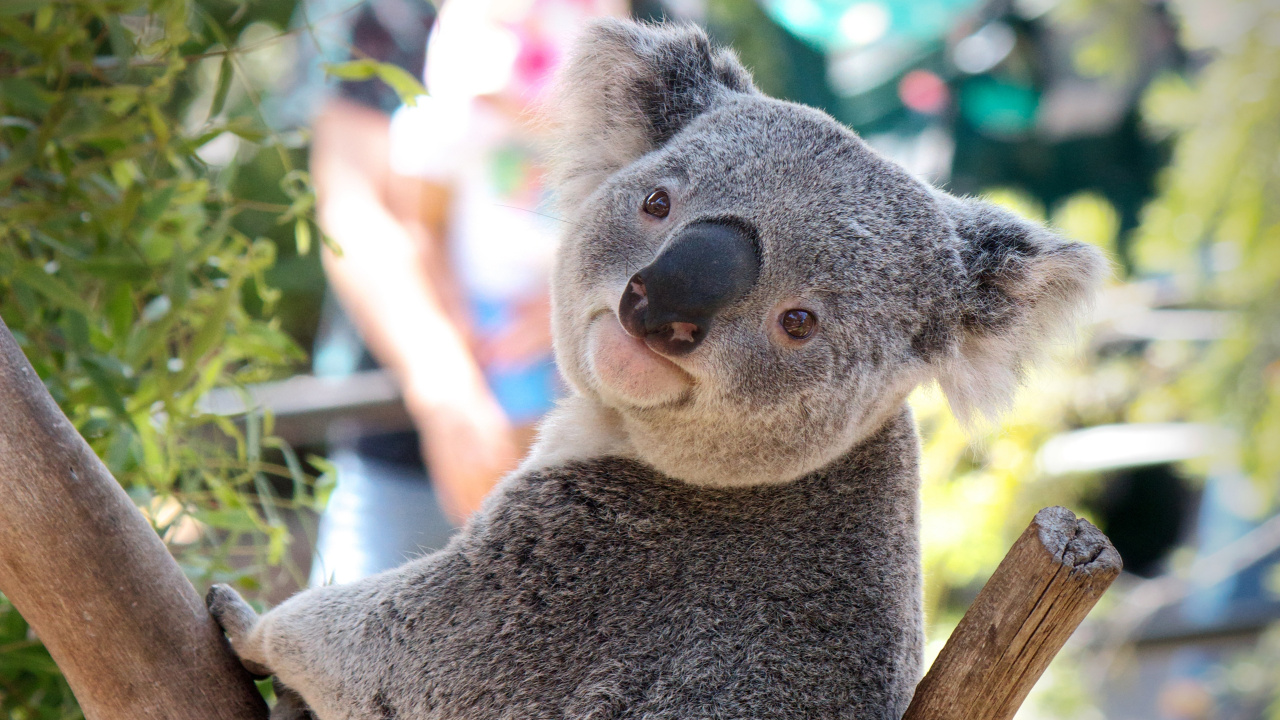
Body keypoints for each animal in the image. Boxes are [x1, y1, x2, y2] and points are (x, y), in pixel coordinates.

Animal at [207, 18, 1106, 720]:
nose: (659, 306)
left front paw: (245, 622)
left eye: (800, 322)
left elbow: (399, 655)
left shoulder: (583, 575)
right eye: (658, 204)